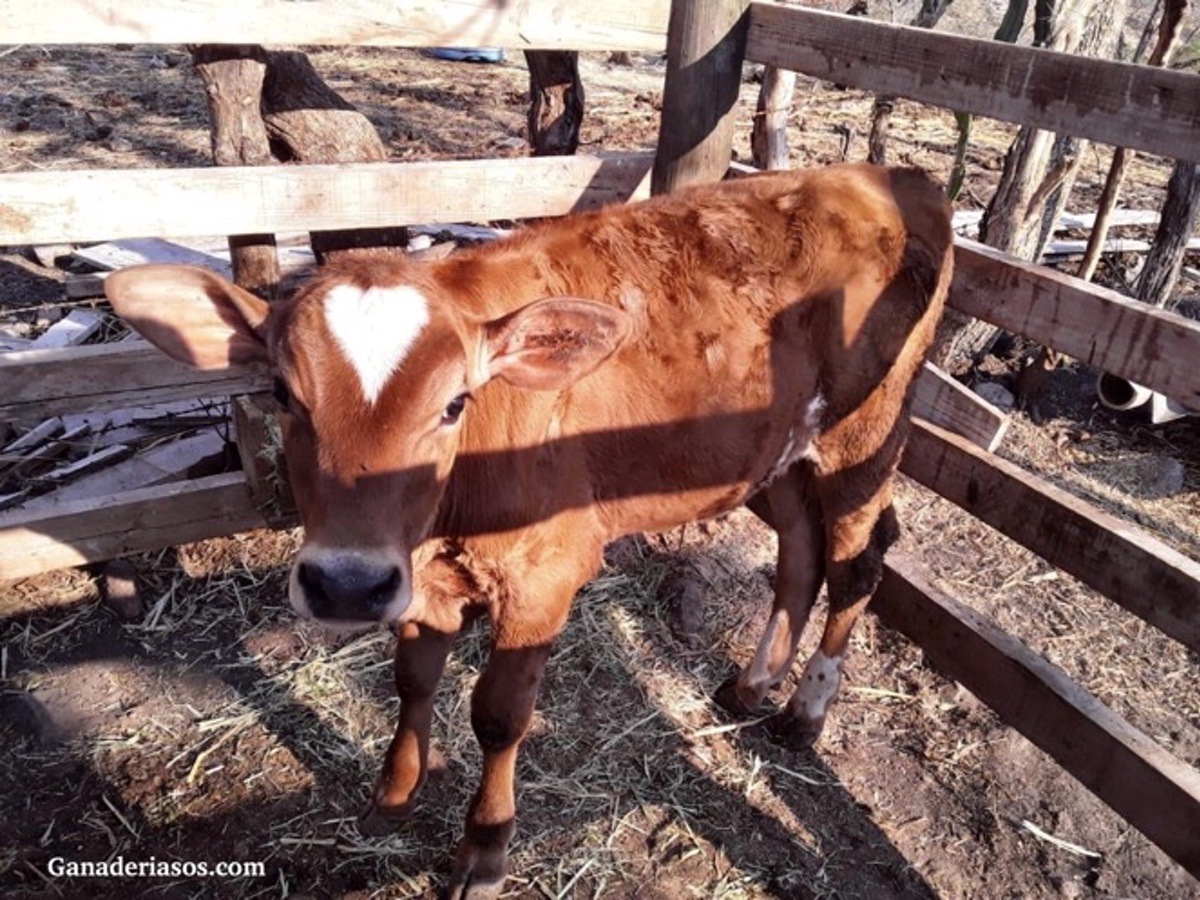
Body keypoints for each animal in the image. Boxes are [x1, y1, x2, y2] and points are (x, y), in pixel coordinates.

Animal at [110, 164, 955, 900]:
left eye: (456, 402)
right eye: (283, 394)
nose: (345, 583)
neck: (450, 516)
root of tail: (890, 174)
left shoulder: (544, 575)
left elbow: (498, 715)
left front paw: (482, 854)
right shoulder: (423, 578)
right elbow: (412, 680)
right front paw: (393, 796)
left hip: (867, 434)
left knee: (858, 561)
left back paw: (804, 714)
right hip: (778, 448)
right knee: (800, 552)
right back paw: (752, 682)